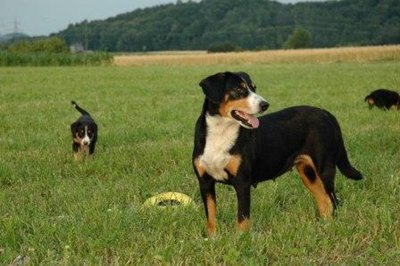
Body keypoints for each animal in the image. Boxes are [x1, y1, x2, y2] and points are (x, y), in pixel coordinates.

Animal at [192, 71, 364, 236]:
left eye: (254, 88)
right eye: (238, 89)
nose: (264, 104)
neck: (220, 132)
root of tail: (326, 113)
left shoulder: (242, 182)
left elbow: (242, 218)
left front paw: (241, 240)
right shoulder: (205, 182)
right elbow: (211, 217)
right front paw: (212, 239)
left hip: (324, 169)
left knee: (333, 201)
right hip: (308, 173)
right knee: (325, 202)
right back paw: (323, 228)